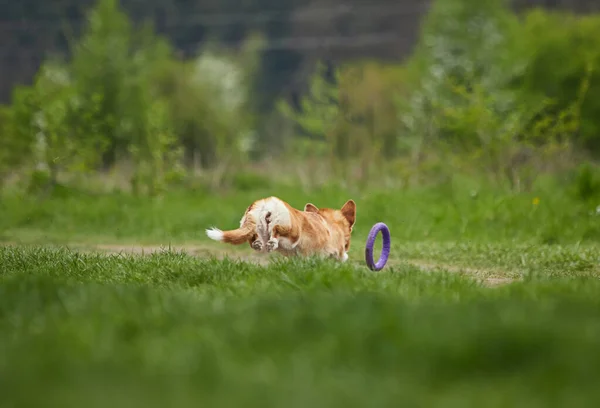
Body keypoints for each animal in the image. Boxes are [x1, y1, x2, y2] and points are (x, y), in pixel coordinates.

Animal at [206, 197, 356, 262]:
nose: (348, 246)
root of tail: (264, 203)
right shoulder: (338, 252)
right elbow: (342, 257)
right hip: (291, 230)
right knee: (276, 230)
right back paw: (273, 242)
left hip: (254, 226)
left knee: (254, 236)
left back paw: (258, 243)